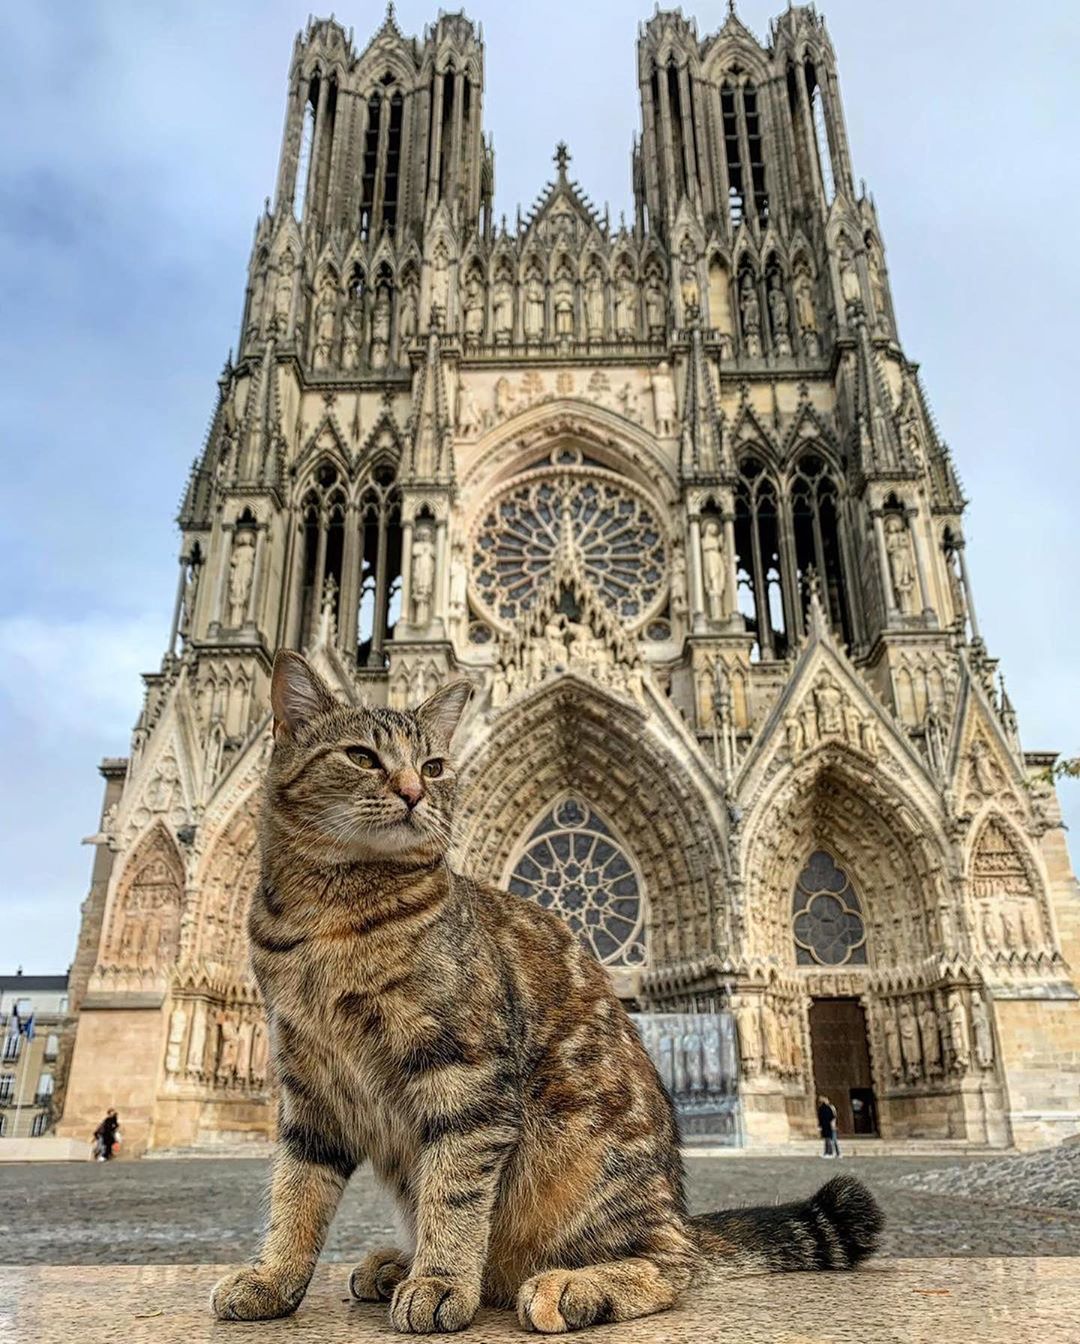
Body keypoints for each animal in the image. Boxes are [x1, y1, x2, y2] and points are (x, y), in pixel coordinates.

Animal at [210, 650, 886, 1333]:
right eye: (362, 757)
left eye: (433, 766)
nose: (414, 792)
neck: (328, 906)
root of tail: (679, 1216)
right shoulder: (309, 1082)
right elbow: (297, 1189)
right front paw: (275, 1278)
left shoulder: (468, 1071)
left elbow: (455, 1190)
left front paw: (440, 1281)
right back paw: (404, 1264)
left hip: (581, 1157)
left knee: (670, 1267)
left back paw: (568, 1283)